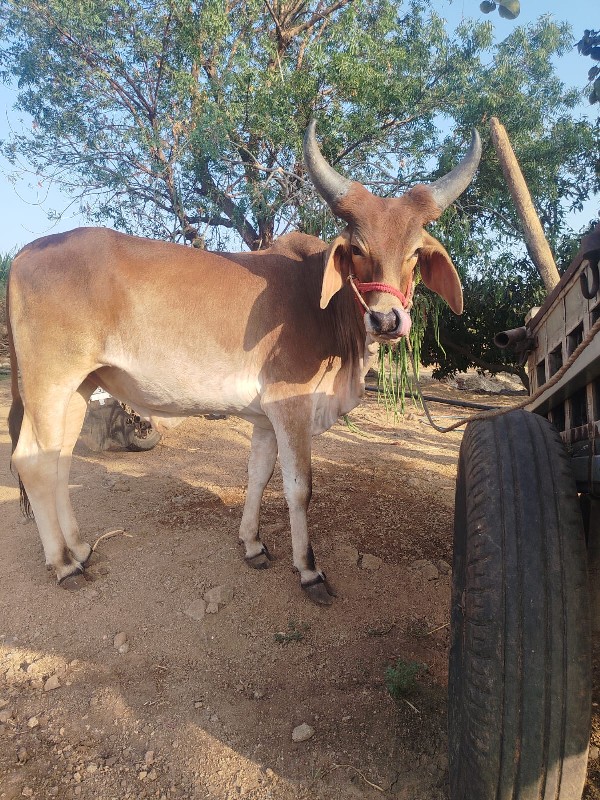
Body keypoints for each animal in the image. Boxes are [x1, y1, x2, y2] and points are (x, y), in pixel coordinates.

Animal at [7, 122, 480, 604]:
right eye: (359, 248)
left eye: (415, 252)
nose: (387, 319)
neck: (324, 306)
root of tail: (27, 252)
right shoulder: (291, 405)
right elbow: (299, 488)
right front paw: (308, 570)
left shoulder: (265, 416)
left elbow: (258, 475)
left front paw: (252, 544)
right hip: (49, 382)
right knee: (33, 462)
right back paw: (64, 564)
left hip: (80, 386)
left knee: (60, 459)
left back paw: (80, 547)